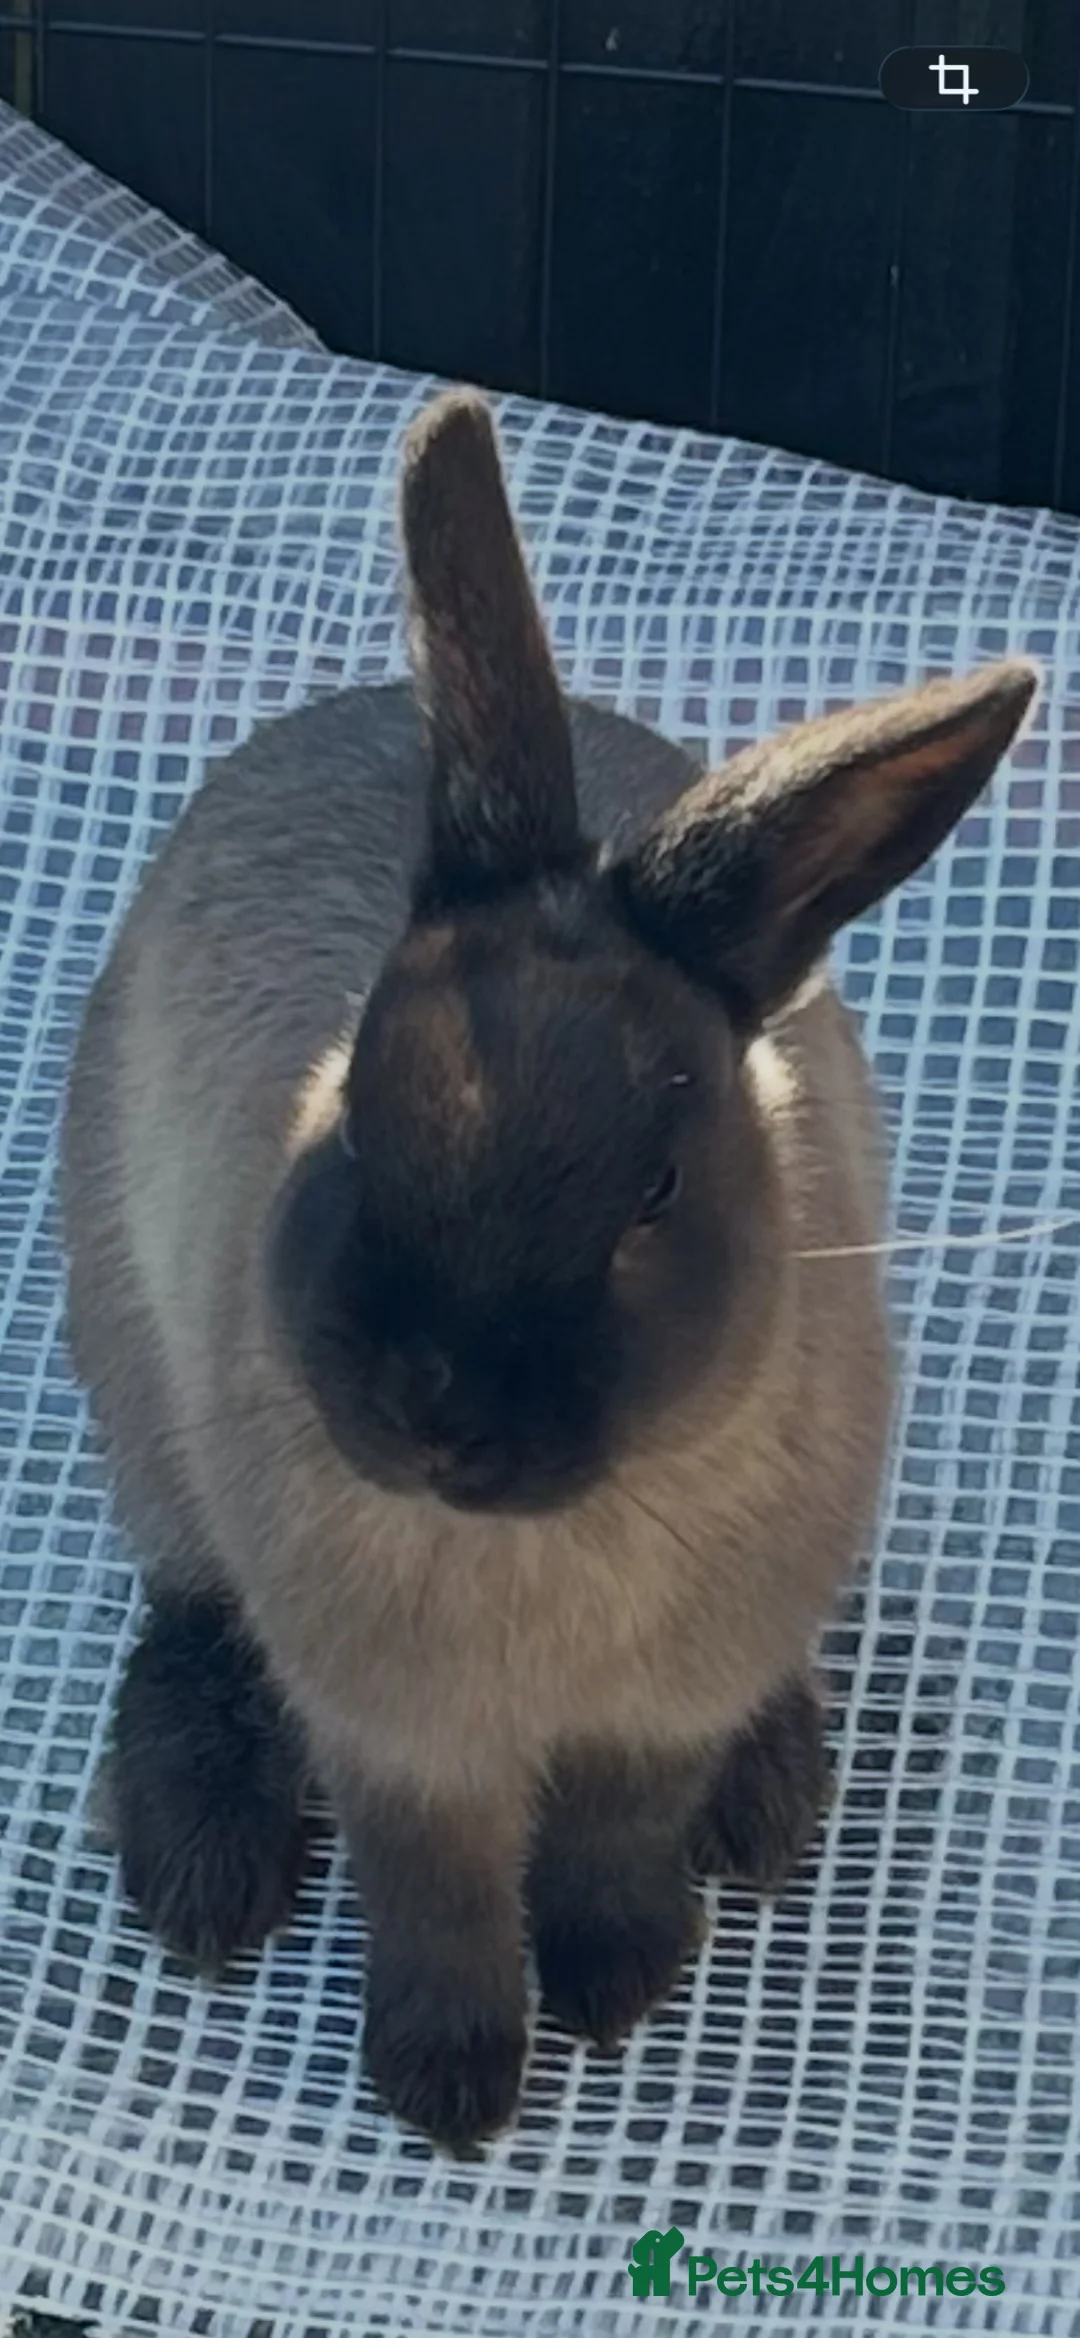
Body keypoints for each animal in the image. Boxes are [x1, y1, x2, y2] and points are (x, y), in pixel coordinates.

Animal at [59, 384, 1038, 2151]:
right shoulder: (396, 1740)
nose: (432, 1414)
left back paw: (771, 1803)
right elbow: (436, 1892)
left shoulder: (658, 1714)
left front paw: (616, 1981)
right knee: (189, 1613)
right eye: (356, 1112)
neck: (553, 1551)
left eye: (655, 1187)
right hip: (138, 1388)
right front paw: (450, 2082)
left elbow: (613, 1835)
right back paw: (206, 1876)